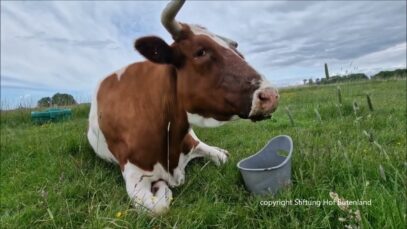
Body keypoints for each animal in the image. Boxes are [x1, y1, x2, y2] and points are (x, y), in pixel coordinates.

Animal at [87, 0, 278, 215]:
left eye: (238, 52)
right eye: (200, 51)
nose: (270, 96)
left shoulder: (190, 142)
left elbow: (220, 158)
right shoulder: (133, 174)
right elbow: (157, 207)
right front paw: (162, 188)